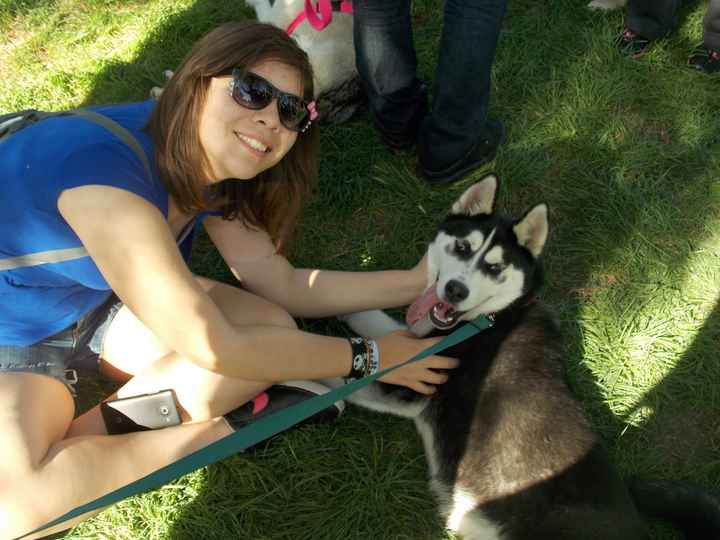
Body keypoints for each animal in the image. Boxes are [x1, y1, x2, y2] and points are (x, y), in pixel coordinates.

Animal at [324, 175, 720, 536]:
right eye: (462, 247)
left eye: (495, 268)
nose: (455, 290)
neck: (494, 317)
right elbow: (373, 321)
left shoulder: (413, 386)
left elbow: (350, 375)